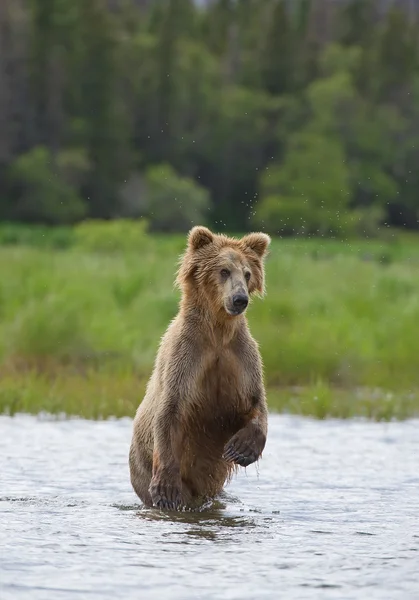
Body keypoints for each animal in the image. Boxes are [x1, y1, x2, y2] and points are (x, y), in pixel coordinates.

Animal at [130, 226, 270, 510]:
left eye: (247, 273)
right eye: (224, 270)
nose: (240, 299)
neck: (217, 332)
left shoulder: (242, 357)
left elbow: (256, 402)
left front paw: (241, 449)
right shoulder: (186, 356)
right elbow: (170, 411)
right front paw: (166, 489)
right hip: (141, 465)